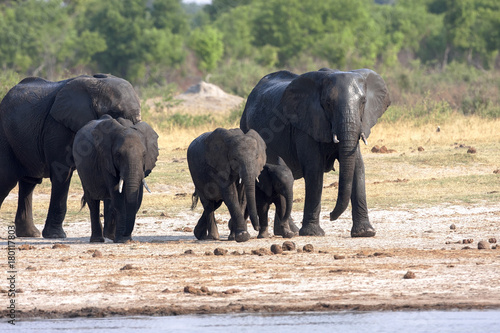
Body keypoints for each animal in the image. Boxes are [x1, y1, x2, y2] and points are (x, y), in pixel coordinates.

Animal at [0, 74, 141, 237]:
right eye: (116, 112)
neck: (96, 85)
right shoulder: (57, 127)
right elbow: (62, 172)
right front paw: (56, 236)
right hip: (5, 137)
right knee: (7, 180)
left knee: (29, 182)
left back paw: (31, 234)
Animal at [72, 115, 157, 243]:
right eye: (118, 155)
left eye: (144, 154)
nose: (126, 235)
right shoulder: (106, 161)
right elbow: (118, 197)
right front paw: (122, 240)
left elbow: (137, 198)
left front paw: (125, 239)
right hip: (82, 170)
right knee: (93, 202)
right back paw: (98, 239)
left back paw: (109, 237)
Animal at [241, 67, 390, 236]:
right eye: (328, 104)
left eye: (363, 102)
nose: (331, 216)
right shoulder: (306, 124)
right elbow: (314, 168)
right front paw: (313, 233)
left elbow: (358, 167)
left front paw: (365, 233)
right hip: (245, 126)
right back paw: (291, 232)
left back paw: (289, 232)